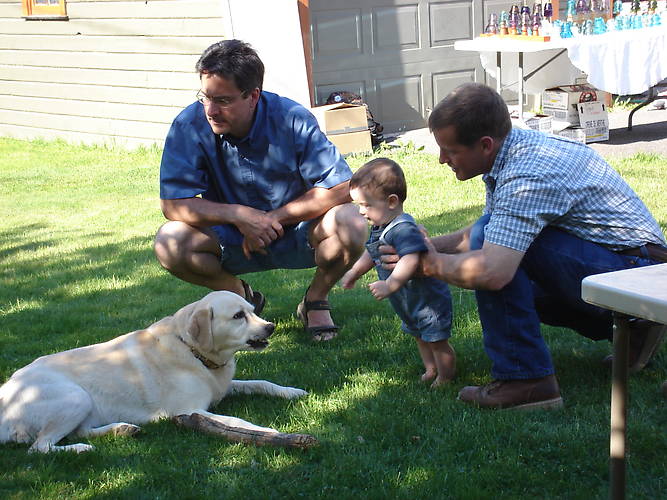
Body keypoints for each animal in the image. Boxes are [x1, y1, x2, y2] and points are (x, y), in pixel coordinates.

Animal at [0, 291, 307, 453]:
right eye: (238, 316)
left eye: (253, 311)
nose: (270, 327)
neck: (192, 350)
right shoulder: (190, 410)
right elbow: (236, 421)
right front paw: (268, 432)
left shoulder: (224, 386)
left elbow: (261, 382)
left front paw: (291, 391)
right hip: (75, 397)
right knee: (40, 447)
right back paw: (81, 449)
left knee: (79, 431)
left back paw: (121, 429)